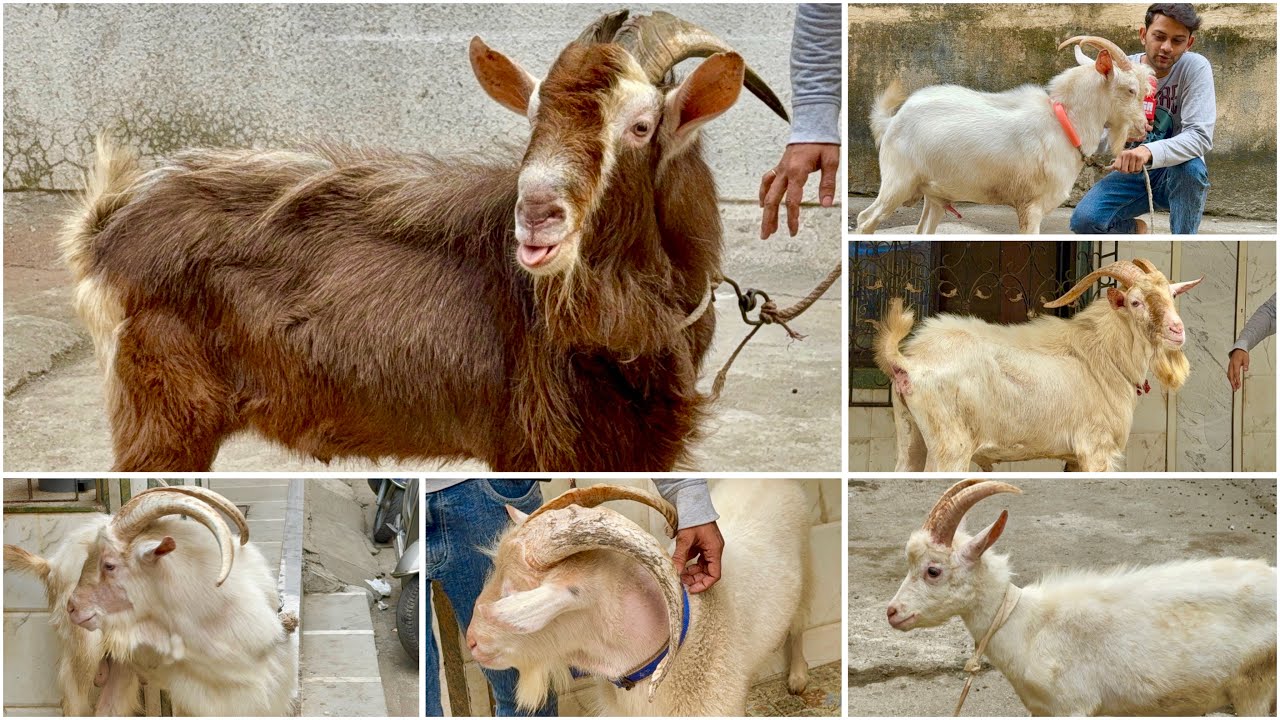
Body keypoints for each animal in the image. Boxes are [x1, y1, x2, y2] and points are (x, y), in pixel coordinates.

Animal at [60, 10, 788, 472]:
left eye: (641, 125)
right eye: (533, 119)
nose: (535, 215)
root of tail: (110, 225)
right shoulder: (537, 443)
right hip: (162, 414)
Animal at [856, 36, 1154, 234]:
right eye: (1130, 90)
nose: (1143, 128)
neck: (1064, 123)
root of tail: (892, 121)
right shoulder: (1032, 205)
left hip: (933, 193)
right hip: (898, 181)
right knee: (864, 219)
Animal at [874, 258, 1202, 472]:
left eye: (1171, 295)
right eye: (1135, 302)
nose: (1177, 330)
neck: (1105, 358)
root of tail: (908, 360)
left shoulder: (1073, 458)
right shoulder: (1096, 448)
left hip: (911, 439)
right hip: (950, 447)